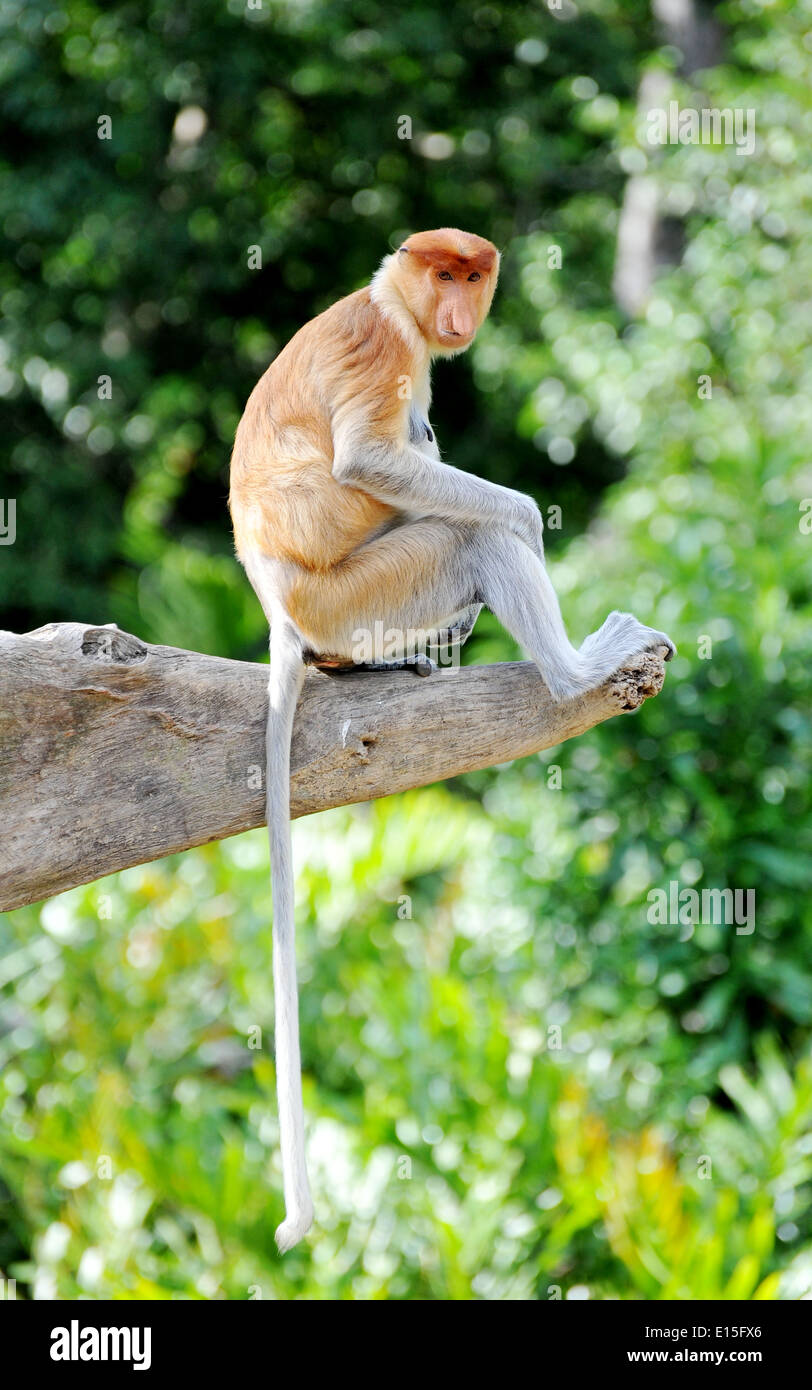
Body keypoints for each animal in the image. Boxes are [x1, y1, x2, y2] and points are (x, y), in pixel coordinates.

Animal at [226, 227, 672, 1251]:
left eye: (476, 275)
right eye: (443, 275)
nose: (461, 308)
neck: (389, 300)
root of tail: (282, 611)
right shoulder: (381, 349)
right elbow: (373, 460)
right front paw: (529, 516)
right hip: (360, 591)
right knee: (467, 534)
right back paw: (572, 668)